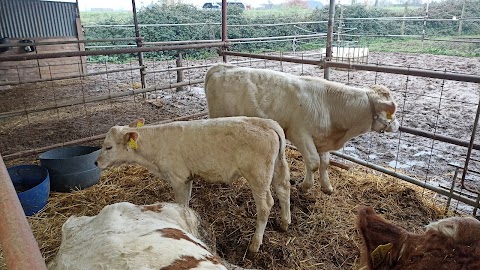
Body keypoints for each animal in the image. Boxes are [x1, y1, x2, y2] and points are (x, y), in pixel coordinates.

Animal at [93, 116, 288, 253]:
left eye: (108, 147)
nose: (96, 162)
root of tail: (265, 122)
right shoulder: (187, 178)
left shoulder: (178, 178)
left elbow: (181, 205)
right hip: (277, 167)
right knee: (283, 190)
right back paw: (285, 224)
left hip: (258, 176)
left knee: (265, 206)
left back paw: (254, 245)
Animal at [204, 63, 400, 194]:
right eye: (392, 112)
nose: (398, 126)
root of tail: (221, 67)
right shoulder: (300, 134)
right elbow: (313, 163)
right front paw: (305, 186)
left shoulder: (322, 138)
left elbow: (325, 163)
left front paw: (327, 187)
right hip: (218, 116)